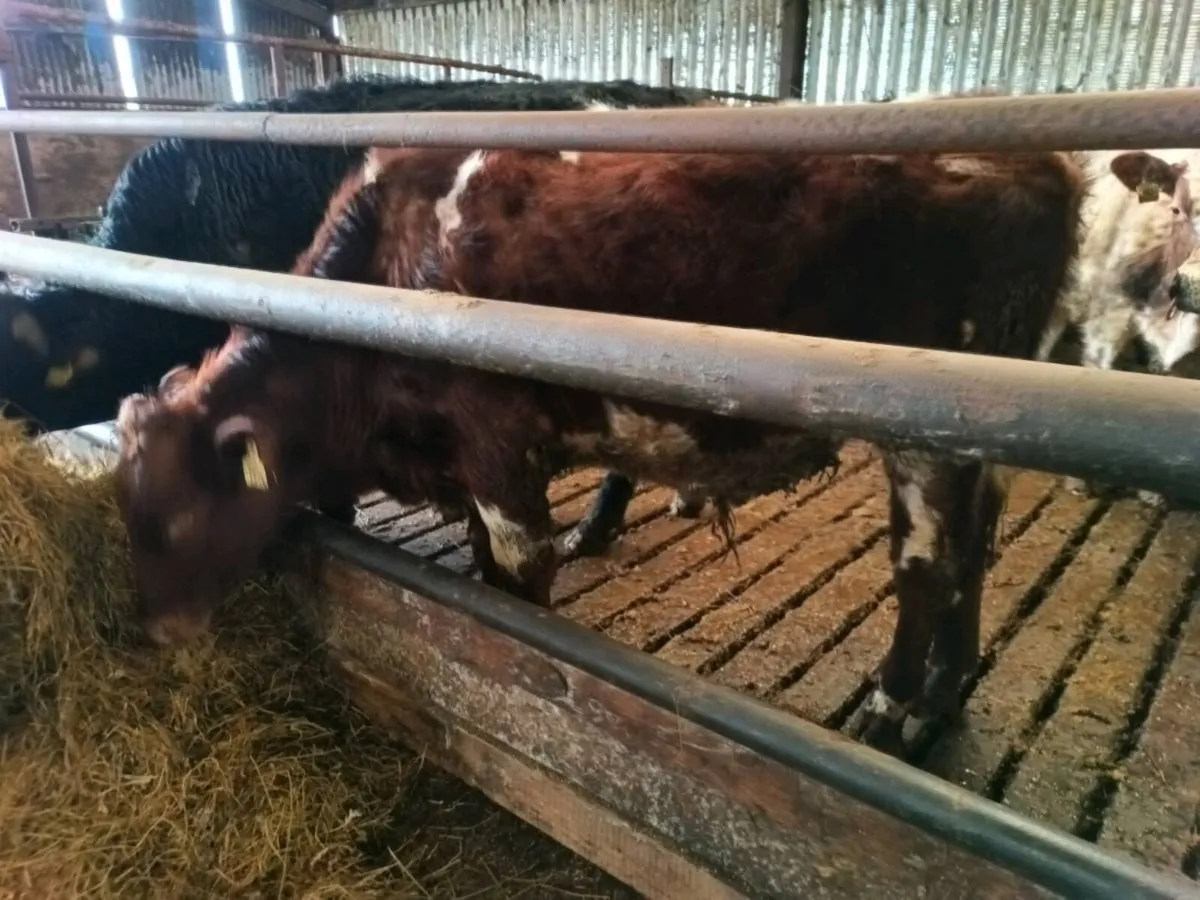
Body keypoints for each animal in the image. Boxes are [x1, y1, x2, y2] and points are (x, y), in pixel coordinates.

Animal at [113, 140, 1107, 757]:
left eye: (178, 517)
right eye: (127, 515)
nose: (154, 633)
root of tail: (1041, 160)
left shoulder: (498, 453)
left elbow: (516, 580)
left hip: (929, 432)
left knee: (926, 567)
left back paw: (892, 705)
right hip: (987, 439)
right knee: (976, 548)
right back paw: (944, 691)